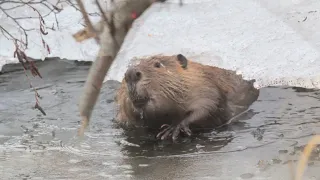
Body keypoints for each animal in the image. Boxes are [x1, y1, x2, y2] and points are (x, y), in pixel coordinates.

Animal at [115, 54, 260, 141]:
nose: (131, 74)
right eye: (127, 71)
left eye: (158, 65)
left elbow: (211, 107)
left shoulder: (206, 87)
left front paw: (172, 129)